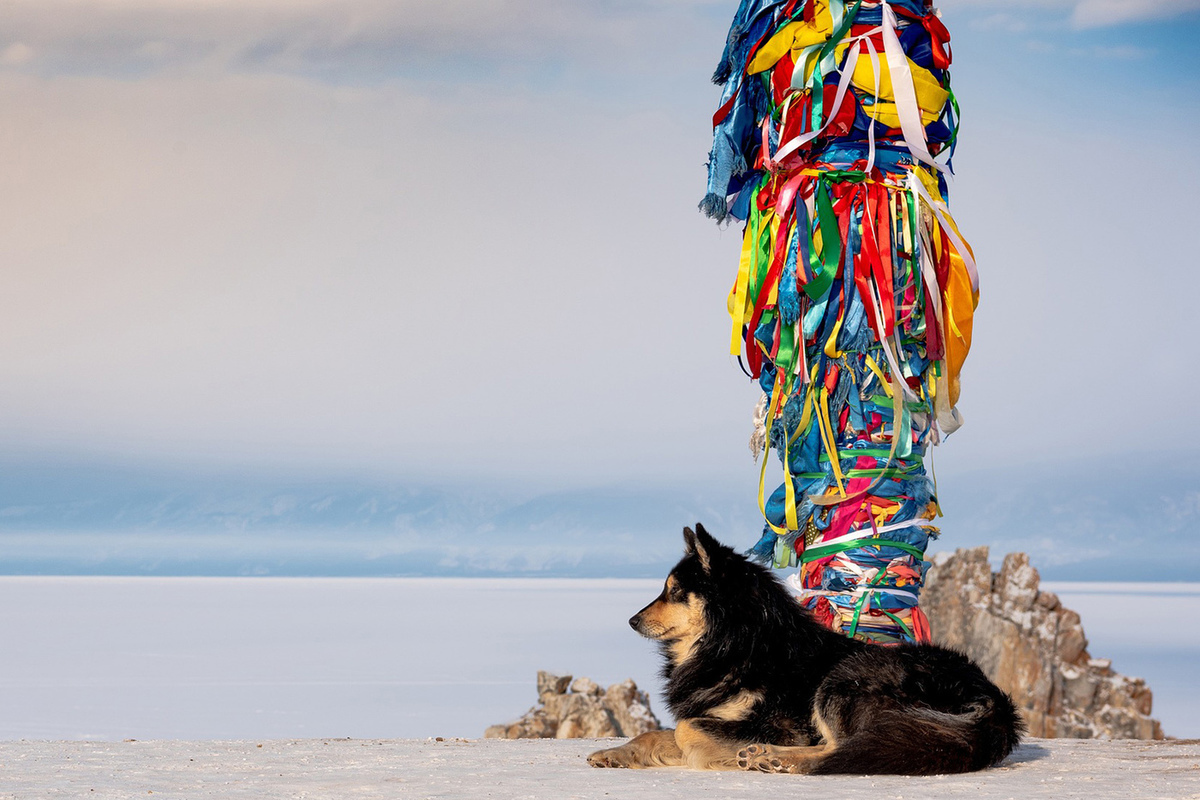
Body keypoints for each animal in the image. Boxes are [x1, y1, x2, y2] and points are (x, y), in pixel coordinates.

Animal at [585, 525, 1017, 777]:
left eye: (674, 591)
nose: (632, 621)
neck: (736, 642)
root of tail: (993, 701)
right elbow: (657, 733)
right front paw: (617, 752)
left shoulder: (780, 724)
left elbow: (686, 730)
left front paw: (714, 757)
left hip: (845, 679)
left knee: (841, 750)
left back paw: (774, 759)